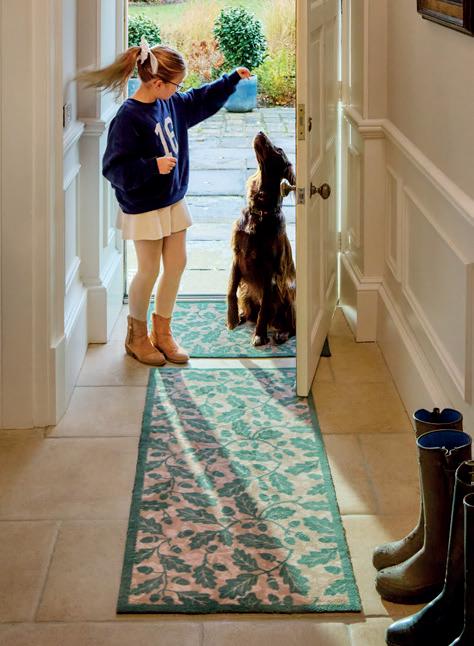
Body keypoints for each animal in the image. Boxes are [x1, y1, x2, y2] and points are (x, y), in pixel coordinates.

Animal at [227, 131, 296, 346]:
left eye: (279, 150)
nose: (260, 132)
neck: (260, 211)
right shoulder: (237, 256)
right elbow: (230, 290)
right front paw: (232, 318)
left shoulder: (270, 270)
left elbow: (264, 307)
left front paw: (259, 335)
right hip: (246, 293)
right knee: (250, 311)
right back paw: (242, 316)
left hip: (287, 289)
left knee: (292, 325)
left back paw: (281, 333)